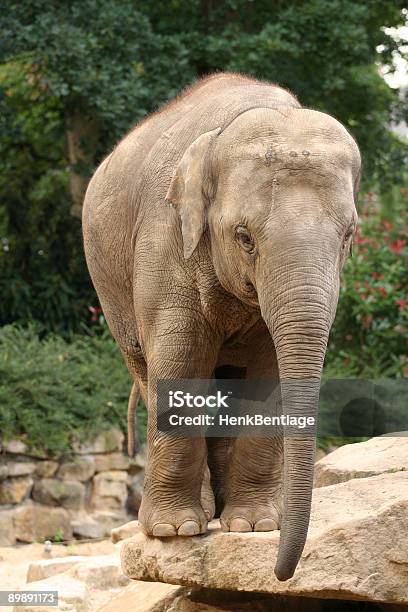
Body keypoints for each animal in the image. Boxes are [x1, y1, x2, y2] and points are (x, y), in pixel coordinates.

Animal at [82, 71, 360, 580]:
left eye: (349, 235)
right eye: (244, 237)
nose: (280, 573)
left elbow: (268, 370)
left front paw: (254, 526)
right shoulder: (166, 238)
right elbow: (182, 358)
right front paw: (173, 532)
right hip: (110, 288)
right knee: (148, 368)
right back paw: (195, 515)